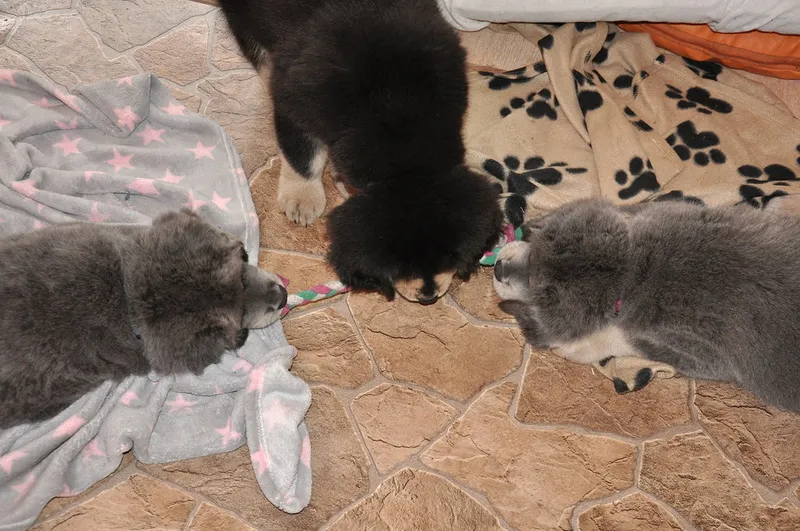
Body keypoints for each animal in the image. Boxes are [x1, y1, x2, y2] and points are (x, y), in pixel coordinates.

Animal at [216, 0, 503, 304]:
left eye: (450, 257)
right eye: (400, 267)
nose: (428, 296)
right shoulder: (297, 100)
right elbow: (303, 156)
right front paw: (303, 197)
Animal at [493, 198, 800, 412]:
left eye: (533, 284)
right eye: (535, 252)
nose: (497, 268)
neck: (634, 269)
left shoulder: (701, 355)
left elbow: (622, 337)